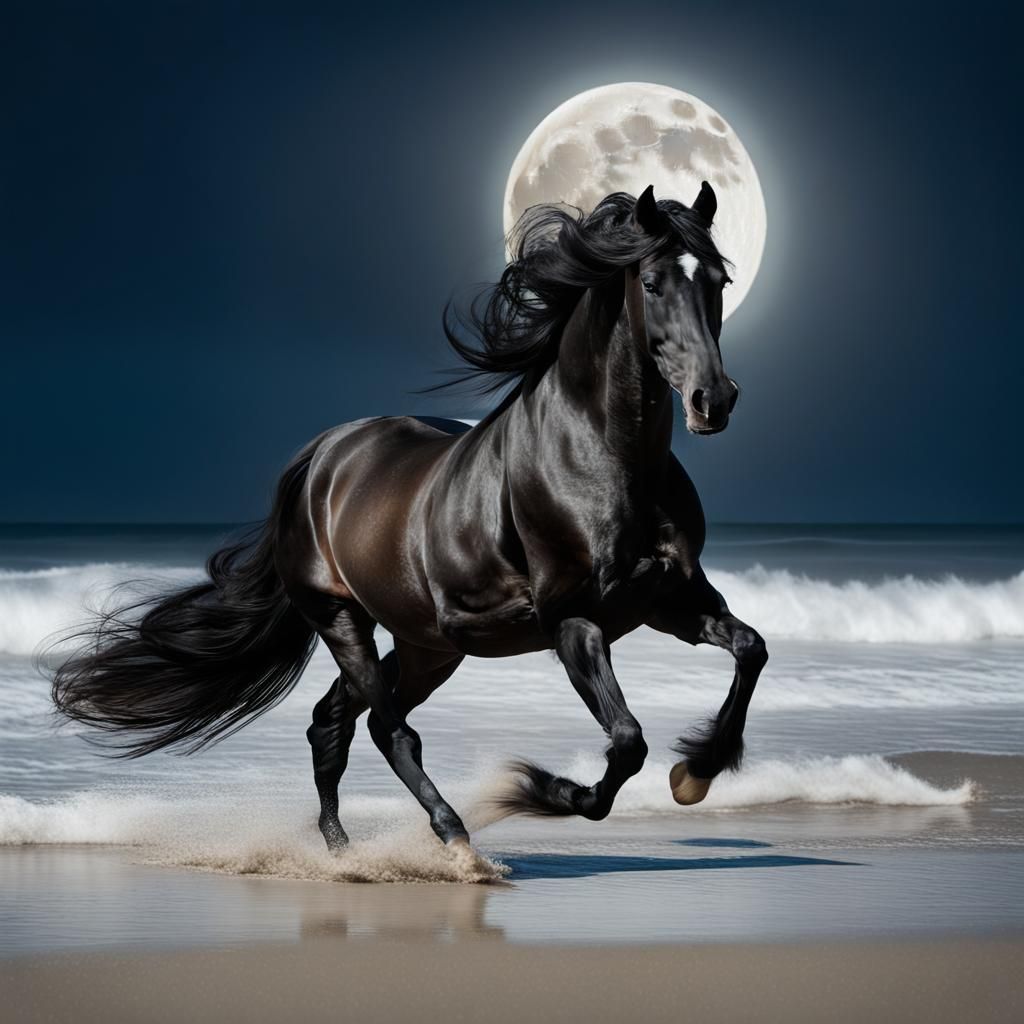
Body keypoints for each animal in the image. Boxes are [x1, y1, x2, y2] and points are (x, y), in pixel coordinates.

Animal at [52, 182, 767, 867]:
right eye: (652, 283)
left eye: (719, 281)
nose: (714, 400)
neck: (602, 457)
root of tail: (319, 459)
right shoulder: (574, 622)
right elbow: (627, 740)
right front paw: (542, 789)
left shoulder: (667, 601)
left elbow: (750, 649)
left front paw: (695, 773)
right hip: (344, 620)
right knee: (388, 729)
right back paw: (454, 842)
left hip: (430, 644)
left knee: (333, 721)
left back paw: (343, 851)